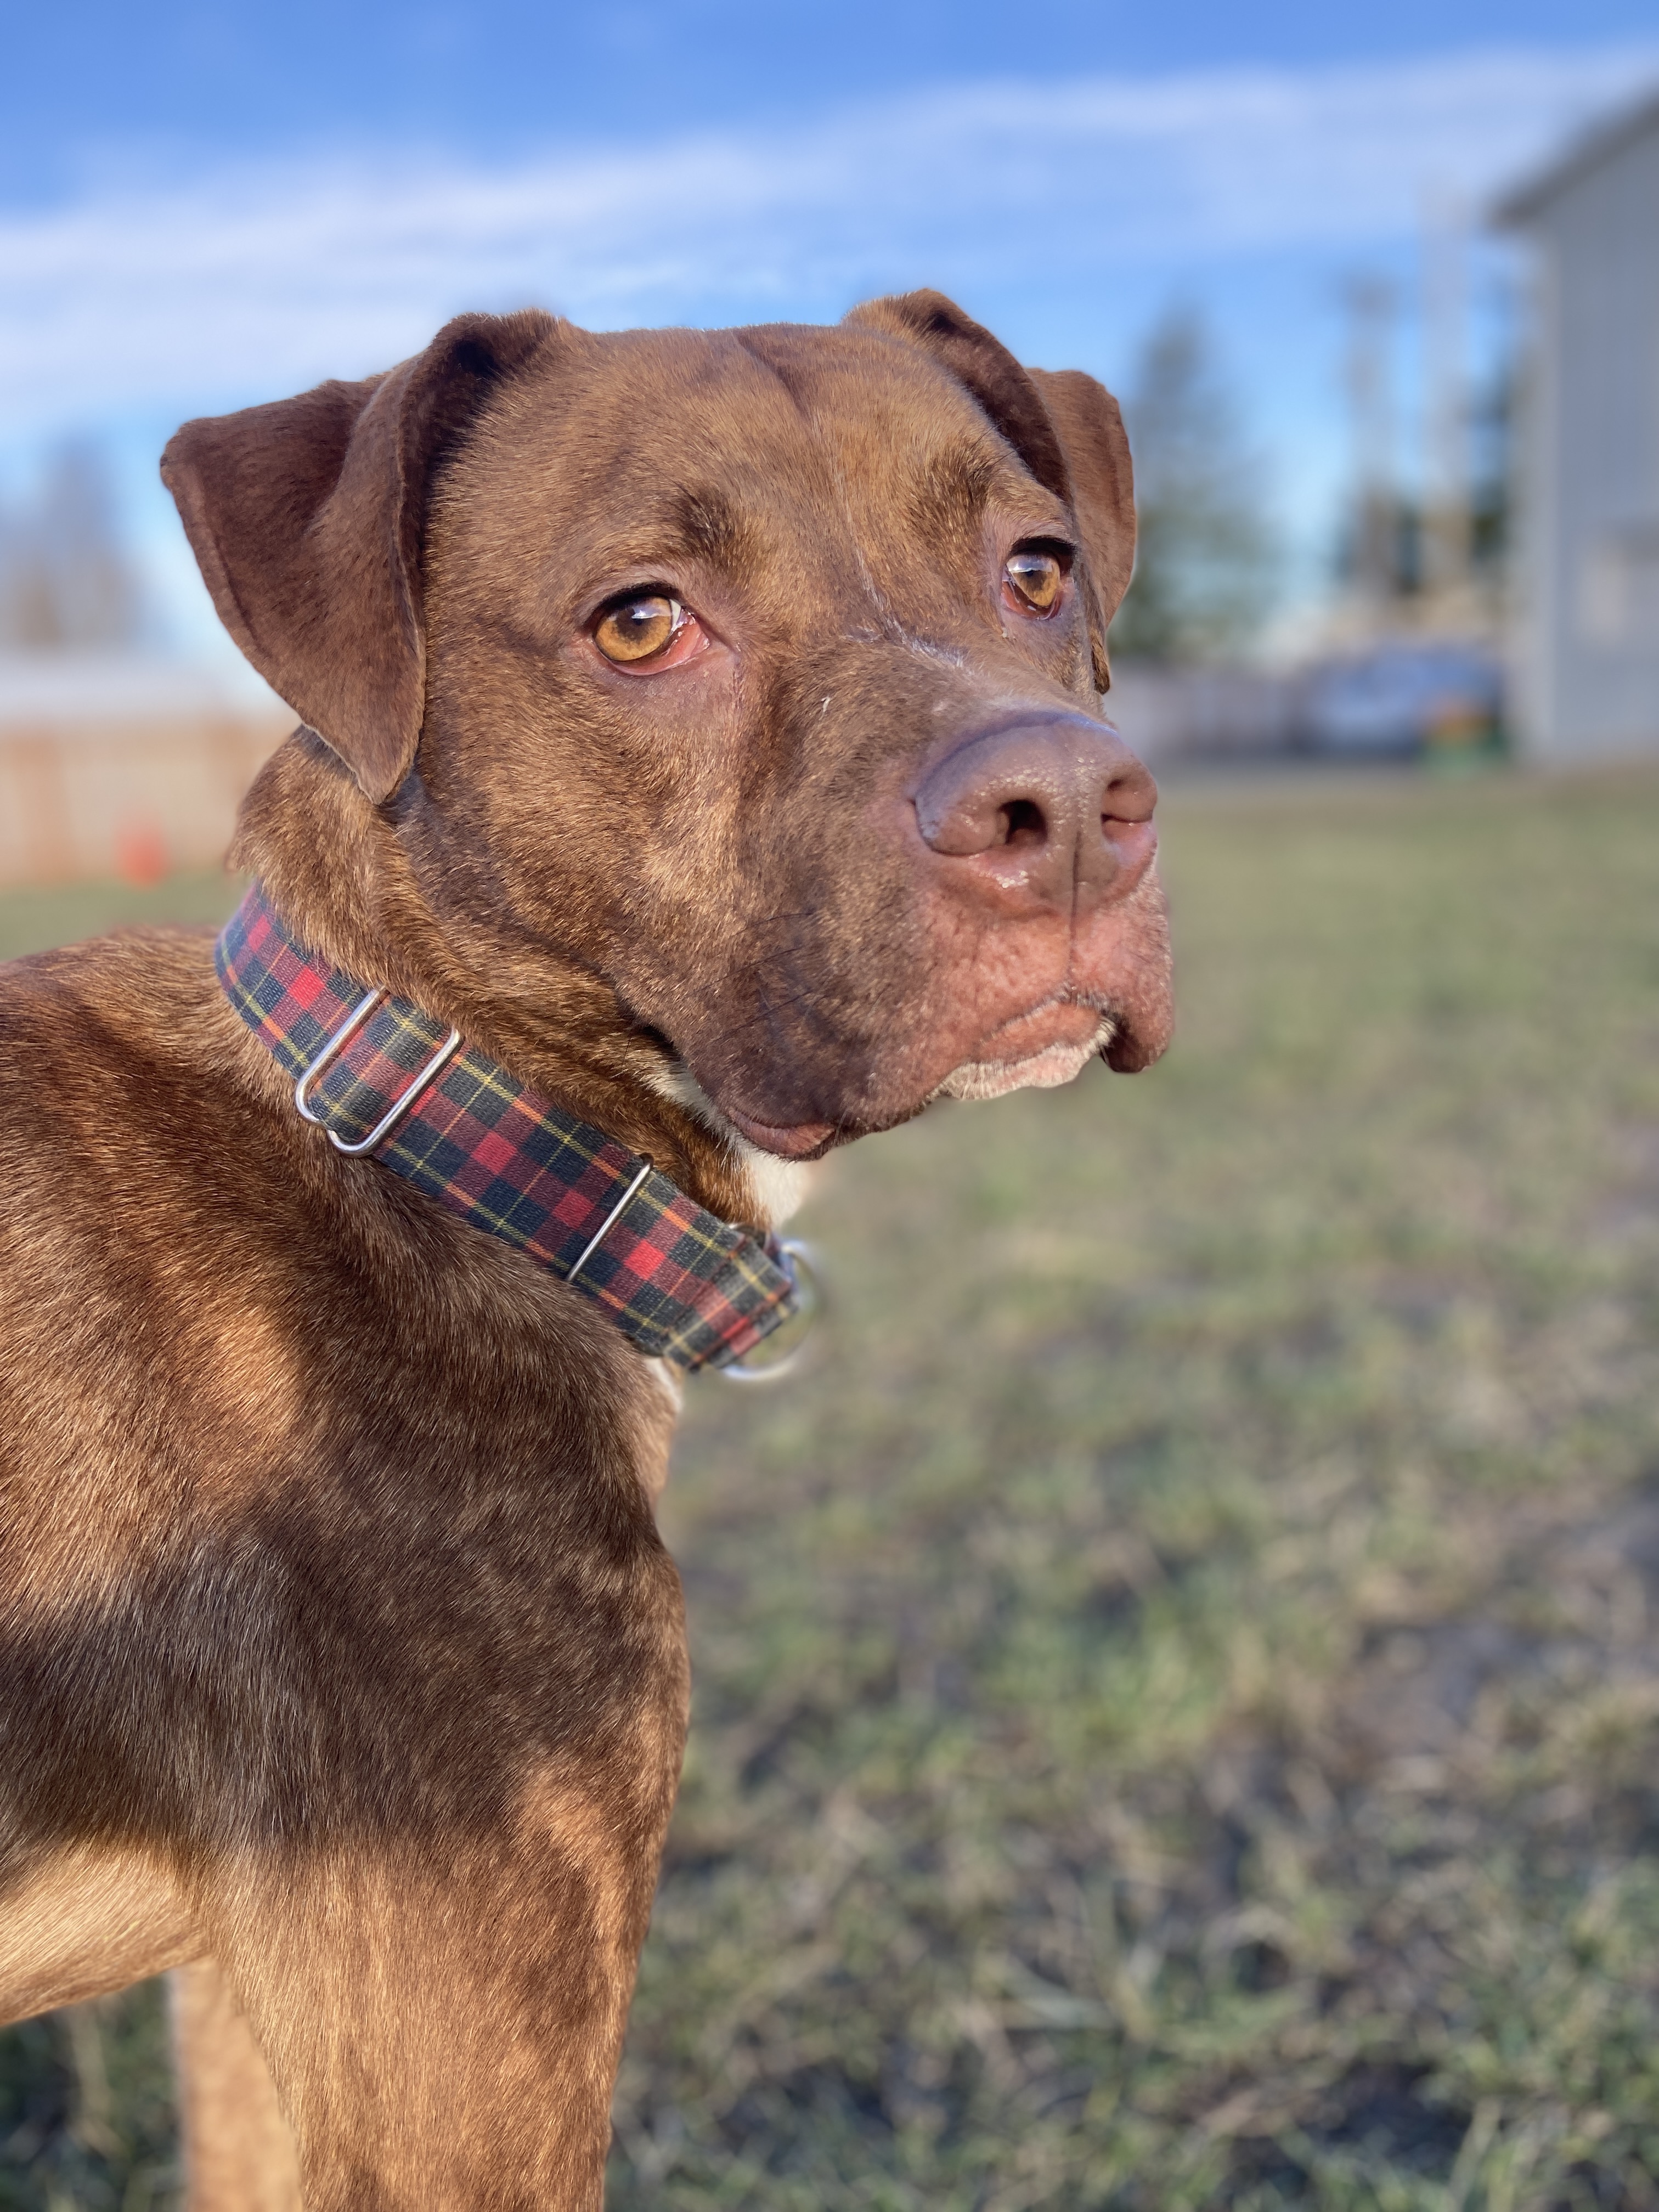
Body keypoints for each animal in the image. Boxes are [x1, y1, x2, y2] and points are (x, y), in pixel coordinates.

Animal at [0, 294, 1167, 2212]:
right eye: (640, 621)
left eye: (1036, 570)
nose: (1069, 813)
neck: (420, 1129)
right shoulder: (466, 2051)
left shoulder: (260, 2008)